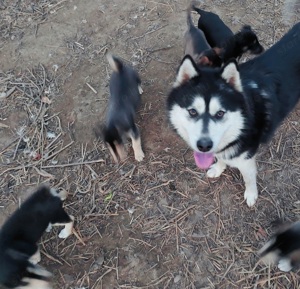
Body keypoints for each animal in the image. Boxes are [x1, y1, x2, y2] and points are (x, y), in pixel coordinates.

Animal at [168, 23, 300, 207]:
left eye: (220, 113)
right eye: (192, 111)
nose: (204, 146)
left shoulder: (246, 158)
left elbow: (249, 178)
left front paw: (251, 194)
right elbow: (220, 157)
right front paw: (218, 168)